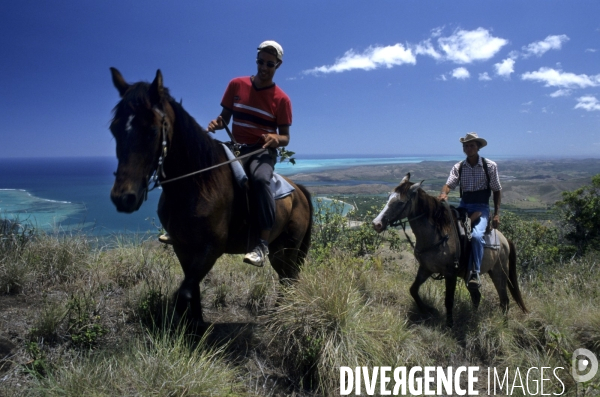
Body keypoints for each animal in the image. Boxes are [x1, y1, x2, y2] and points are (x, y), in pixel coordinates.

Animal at [109, 67, 314, 322]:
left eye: (153, 130)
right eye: (114, 129)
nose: (123, 197)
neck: (197, 184)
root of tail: (299, 192)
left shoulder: (211, 249)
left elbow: (184, 292)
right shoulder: (182, 246)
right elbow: (192, 290)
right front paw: (196, 325)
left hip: (287, 248)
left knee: (290, 278)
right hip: (279, 249)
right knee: (287, 278)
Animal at [372, 172, 528, 324]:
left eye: (400, 202)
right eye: (388, 198)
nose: (376, 224)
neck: (438, 235)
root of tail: (505, 240)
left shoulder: (450, 274)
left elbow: (449, 301)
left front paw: (449, 325)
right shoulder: (426, 268)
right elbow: (413, 290)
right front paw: (429, 310)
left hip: (499, 272)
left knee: (504, 301)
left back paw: (503, 325)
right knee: (477, 296)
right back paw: (472, 317)